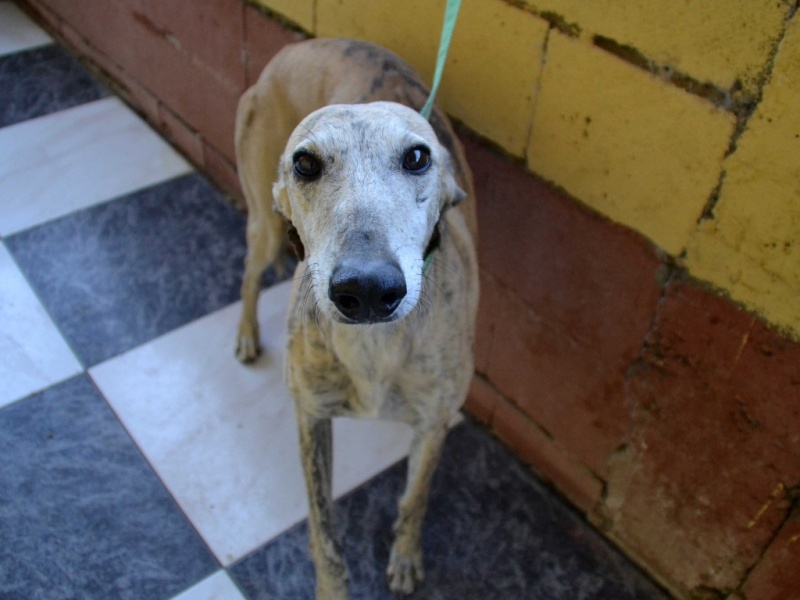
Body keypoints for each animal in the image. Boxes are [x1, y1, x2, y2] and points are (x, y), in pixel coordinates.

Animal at [234, 39, 478, 596]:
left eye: (418, 156)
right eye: (305, 163)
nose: (366, 290)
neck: (374, 346)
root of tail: (287, 51)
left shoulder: (434, 423)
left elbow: (414, 497)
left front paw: (406, 558)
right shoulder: (311, 417)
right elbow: (323, 531)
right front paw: (331, 587)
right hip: (263, 224)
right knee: (249, 272)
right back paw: (246, 334)